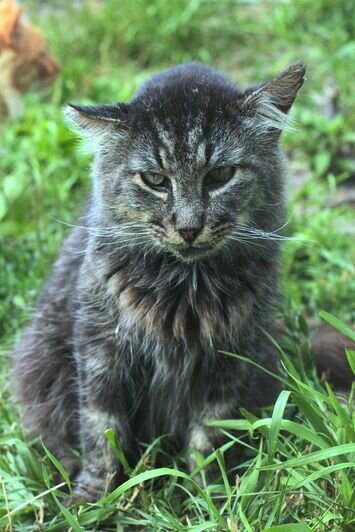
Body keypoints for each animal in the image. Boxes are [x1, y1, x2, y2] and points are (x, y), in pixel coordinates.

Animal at [11, 60, 306, 500]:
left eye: (220, 175)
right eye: (154, 180)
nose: (188, 227)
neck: (184, 289)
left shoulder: (229, 356)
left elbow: (209, 434)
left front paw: (210, 494)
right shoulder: (102, 348)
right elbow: (102, 430)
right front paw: (95, 498)